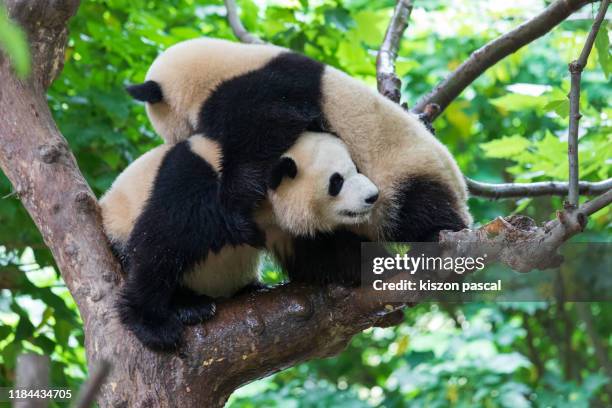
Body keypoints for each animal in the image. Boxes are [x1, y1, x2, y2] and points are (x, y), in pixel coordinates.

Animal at [100, 131, 378, 350]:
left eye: (357, 168)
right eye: (337, 181)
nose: (372, 196)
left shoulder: (277, 225)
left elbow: (318, 255)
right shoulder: (199, 184)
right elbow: (160, 243)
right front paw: (154, 326)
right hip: (117, 223)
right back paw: (190, 305)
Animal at [126, 36, 474, 274]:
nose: (170, 142)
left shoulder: (256, 93)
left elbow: (269, 134)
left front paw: (234, 205)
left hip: (406, 174)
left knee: (419, 209)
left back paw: (436, 236)